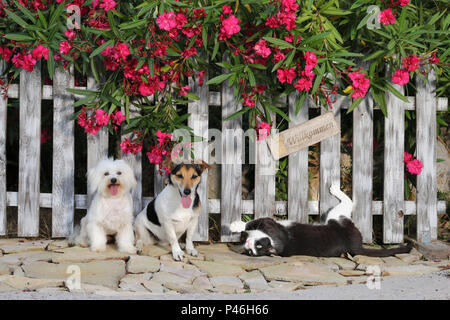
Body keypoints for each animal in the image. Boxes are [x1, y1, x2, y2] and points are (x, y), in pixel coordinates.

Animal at [230, 184, 414, 256]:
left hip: (336, 217)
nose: (248, 245)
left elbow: (252, 222)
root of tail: (355, 246)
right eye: (251, 252)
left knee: (349, 202)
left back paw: (335, 188)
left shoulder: (270, 224)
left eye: (259, 246)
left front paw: (235, 225)